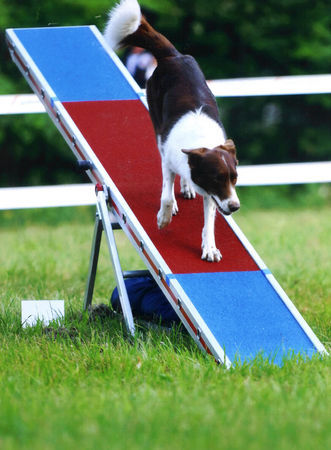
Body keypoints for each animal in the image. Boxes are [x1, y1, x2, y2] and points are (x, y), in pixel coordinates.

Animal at [105, 0, 240, 262]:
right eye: (218, 178)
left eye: (234, 178)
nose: (235, 206)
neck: (201, 141)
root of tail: (173, 56)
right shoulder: (169, 160)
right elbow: (166, 195)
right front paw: (164, 218)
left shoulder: (212, 193)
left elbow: (209, 219)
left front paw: (209, 248)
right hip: (157, 122)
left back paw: (186, 188)